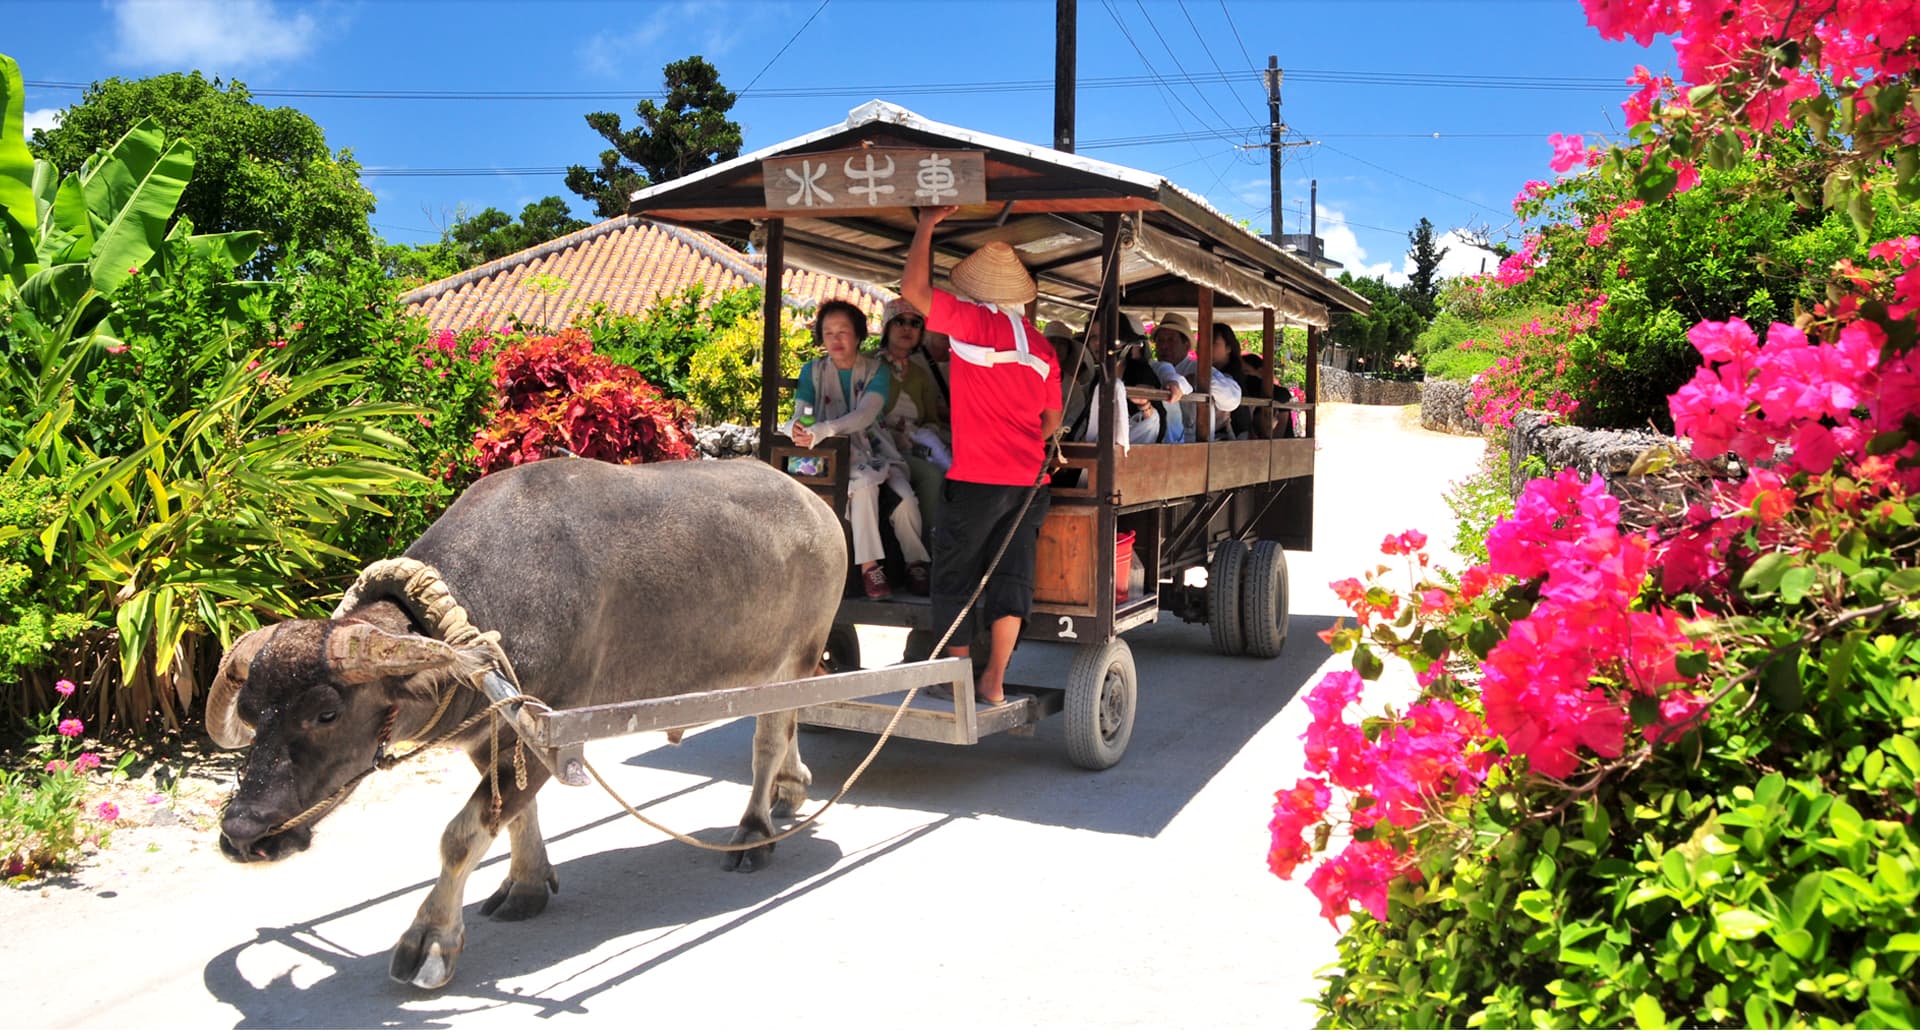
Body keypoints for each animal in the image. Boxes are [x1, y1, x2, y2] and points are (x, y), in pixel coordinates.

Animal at [206, 455, 844, 983]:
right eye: (252, 712)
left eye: (326, 712)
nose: (242, 831)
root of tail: (820, 512)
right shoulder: (496, 734)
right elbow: (514, 817)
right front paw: (527, 885)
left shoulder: (551, 732)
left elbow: (462, 836)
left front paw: (429, 940)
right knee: (787, 730)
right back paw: (792, 790)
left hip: (795, 659)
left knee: (768, 740)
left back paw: (754, 833)